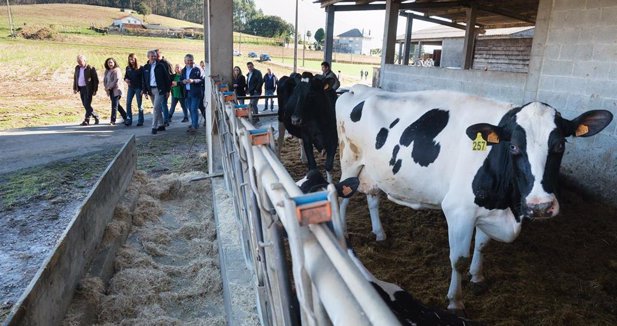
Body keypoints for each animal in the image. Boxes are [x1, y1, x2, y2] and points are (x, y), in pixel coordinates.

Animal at [334, 84, 612, 314]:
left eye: (560, 146)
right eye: (514, 147)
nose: (540, 206)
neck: (507, 206)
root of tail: (357, 88)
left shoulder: (489, 210)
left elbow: (482, 246)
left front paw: (477, 277)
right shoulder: (459, 211)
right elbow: (458, 260)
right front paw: (455, 301)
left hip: (373, 171)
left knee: (373, 197)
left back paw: (380, 233)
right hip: (350, 162)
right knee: (343, 198)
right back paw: (344, 233)